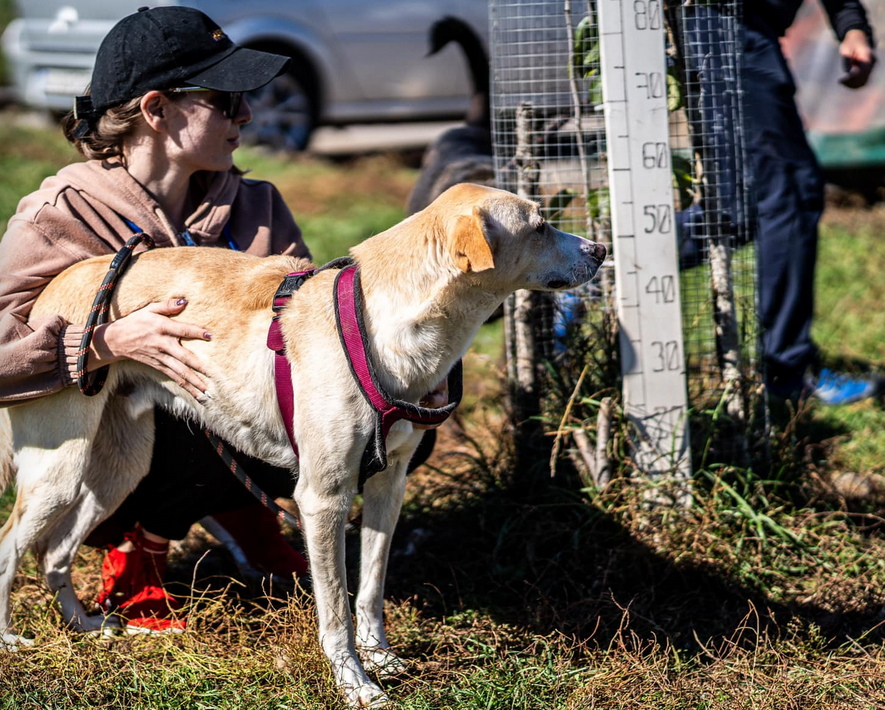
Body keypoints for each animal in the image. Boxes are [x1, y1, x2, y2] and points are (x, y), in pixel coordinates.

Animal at [0, 184, 605, 707]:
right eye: (541, 225)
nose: (600, 249)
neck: (391, 325)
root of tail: (54, 288)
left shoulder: (389, 485)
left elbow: (371, 588)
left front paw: (380, 657)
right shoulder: (323, 498)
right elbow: (335, 608)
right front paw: (355, 683)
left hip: (118, 469)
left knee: (55, 552)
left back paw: (88, 626)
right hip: (58, 471)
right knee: (11, 546)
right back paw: (11, 641)